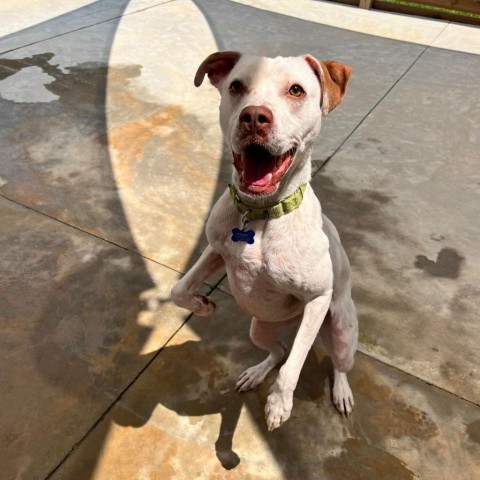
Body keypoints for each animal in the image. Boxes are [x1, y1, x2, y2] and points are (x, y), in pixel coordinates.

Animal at [171, 52, 358, 432]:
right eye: (236, 86)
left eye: (296, 90)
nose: (255, 116)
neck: (260, 215)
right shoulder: (216, 250)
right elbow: (179, 289)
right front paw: (201, 305)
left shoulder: (318, 298)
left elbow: (294, 368)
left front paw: (278, 405)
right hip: (259, 328)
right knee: (279, 350)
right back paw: (256, 373)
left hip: (342, 333)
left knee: (334, 363)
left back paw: (341, 391)